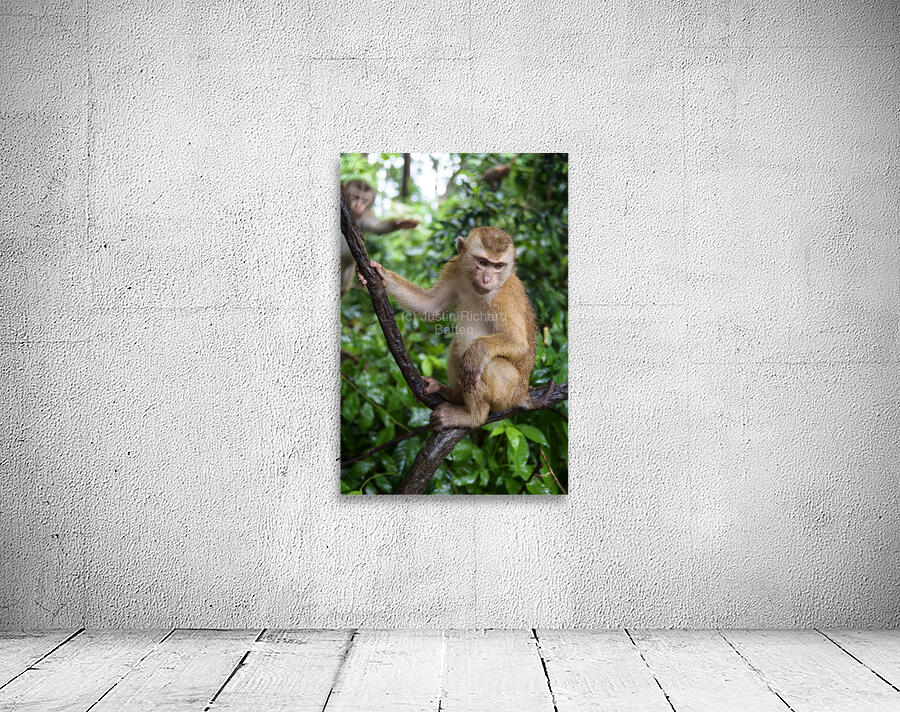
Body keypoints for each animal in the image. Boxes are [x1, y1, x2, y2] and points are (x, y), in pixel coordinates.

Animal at [358, 226, 537, 430]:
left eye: (498, 266)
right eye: (483, 262)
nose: (487, 279)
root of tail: (523, 393)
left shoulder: (505, 296)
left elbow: (517, 342)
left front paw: (476, 354)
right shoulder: (455, 269)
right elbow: (430, 306)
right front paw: (381, 274)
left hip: (509, 393)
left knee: (481, 361)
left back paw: (473, 415)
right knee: (458, 344)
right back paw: (452, 395)